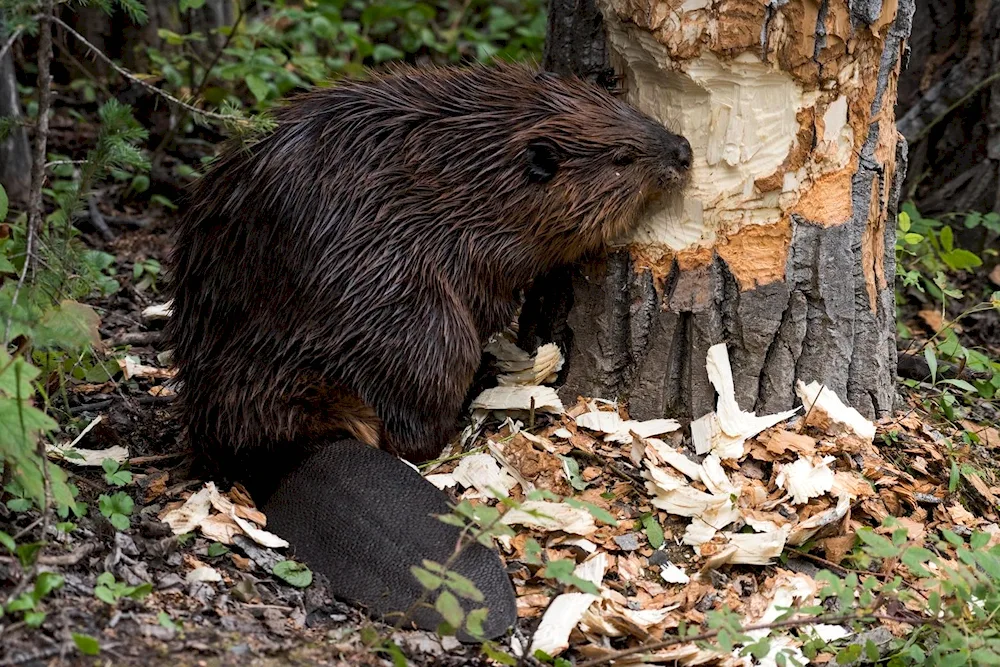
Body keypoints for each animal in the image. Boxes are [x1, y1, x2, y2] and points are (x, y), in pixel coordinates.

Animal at [166, 64, 696, 640]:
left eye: (634, 114)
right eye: (621, 158)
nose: (684, 150)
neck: (472, 167)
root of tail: (294, 452)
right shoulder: (482, 242)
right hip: (424, 329)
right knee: (415, 430)